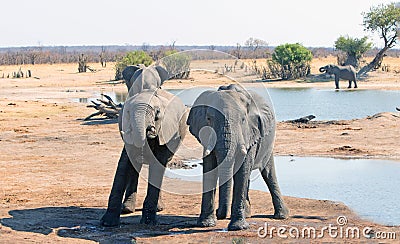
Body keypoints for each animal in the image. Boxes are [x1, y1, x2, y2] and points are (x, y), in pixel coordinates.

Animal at [100, 65, 188, 227]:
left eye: (157, 114)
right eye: (127, 111)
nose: (150, 130)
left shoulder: (167, 131)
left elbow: (157, 165)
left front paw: (148, 222)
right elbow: (123, 165)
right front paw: (107, 223)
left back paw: (157, 209)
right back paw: (127, 209)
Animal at [186, 84, 290, 231]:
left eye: (243, 120)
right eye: (209, 119)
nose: (219, 213)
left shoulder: (251, 133)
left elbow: (243, 168)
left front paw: (238, 227)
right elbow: (209, 168)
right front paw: (205, 224)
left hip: (268, 143)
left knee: (268, 174)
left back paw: (281, 216)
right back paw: (247, 214)